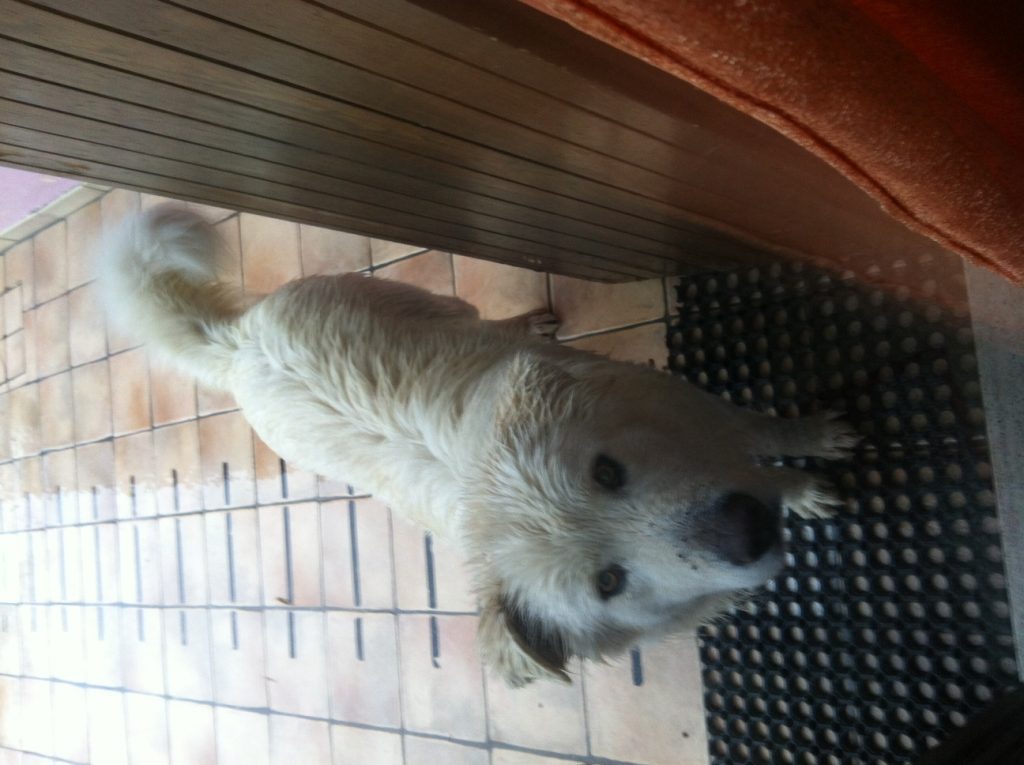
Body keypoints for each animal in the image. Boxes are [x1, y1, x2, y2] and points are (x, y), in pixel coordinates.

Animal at [101, 204, 856, 687]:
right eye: (608, 582)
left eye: (607, 472)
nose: (745, 528)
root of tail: (239, 345)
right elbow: (764, 462)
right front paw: (805, 488)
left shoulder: (695, 414)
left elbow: (764, 435)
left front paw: (813, 451)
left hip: (416, 301)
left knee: (479, 319)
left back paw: (525, 322)